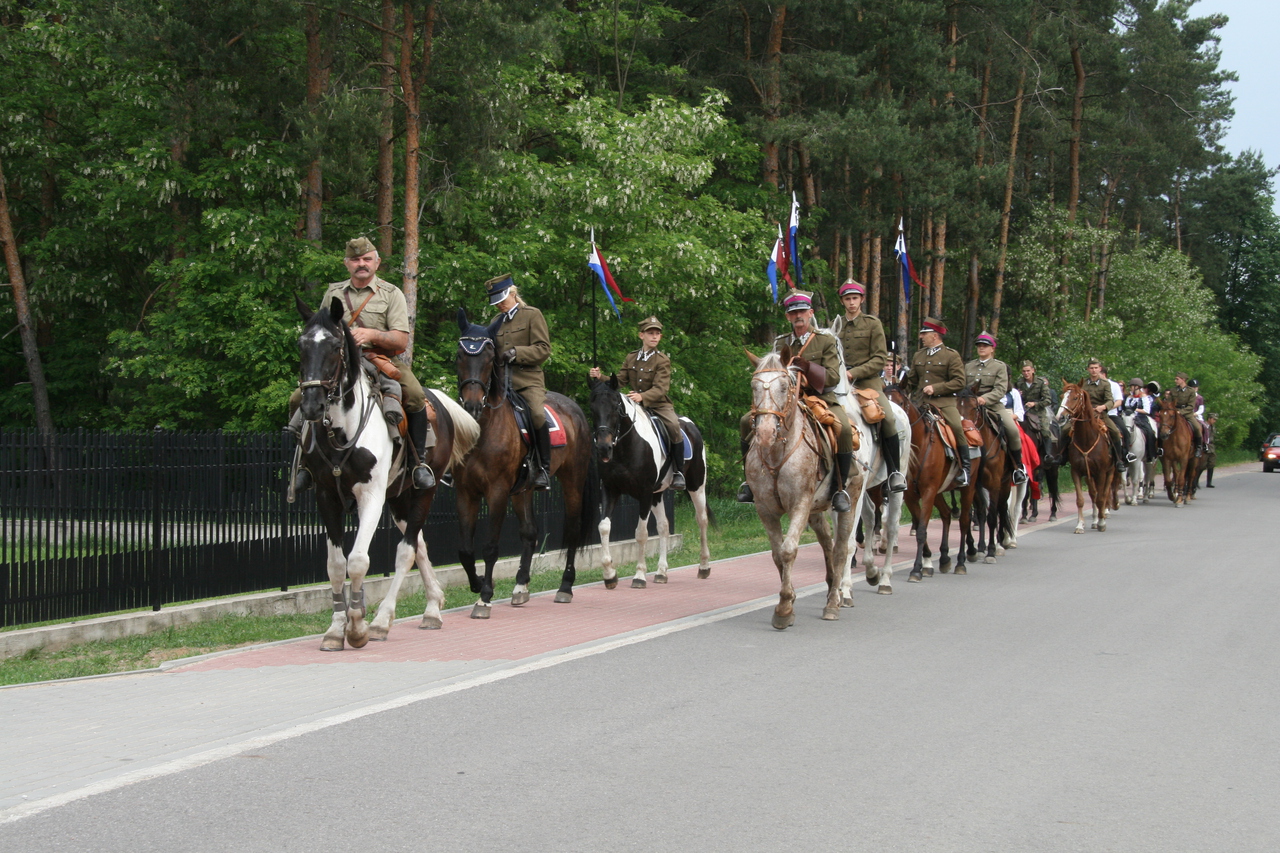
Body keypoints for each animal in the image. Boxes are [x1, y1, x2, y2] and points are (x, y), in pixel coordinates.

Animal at [294, 295, 483, 648]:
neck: (343, 429)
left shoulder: (371, 496)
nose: (312, 405)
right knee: (418, 544)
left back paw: (385, 619)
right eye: (301, 344)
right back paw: (433, 606)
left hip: (423, 491)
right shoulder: (327, 497)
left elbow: (358, 560)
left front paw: (357, 626)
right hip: (398, 498)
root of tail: (440, 402)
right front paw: (335, 629)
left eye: (335, 345)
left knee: (406, 551)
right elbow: (336, 565)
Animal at [453, 308, 596, 614]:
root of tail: (576, 409)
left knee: (573, 529)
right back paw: (521, 586)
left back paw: (565, 586)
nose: (472, 405)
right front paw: (478, 583)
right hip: (523, 490)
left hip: (572, 481)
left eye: (489, 356)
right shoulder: (466, 492)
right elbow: (465, 549)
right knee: (530, 533)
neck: (485, 426)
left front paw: (484, 597)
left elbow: (490, 548)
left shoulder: (496, 492)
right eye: (460, 354)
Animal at [586, 376, 716, 584]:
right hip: (657, 495)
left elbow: (641, 533)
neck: (627, 445)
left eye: (615, 407)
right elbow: (604, 527)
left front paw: (639, 575)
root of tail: (690, 424)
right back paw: (661, 572)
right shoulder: (610, 490)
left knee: (701, 519)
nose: (604, 448)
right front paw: (609, 574)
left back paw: (704, 566)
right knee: (663, 526)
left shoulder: (644, 493)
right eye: (592, 408)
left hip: (696, 486)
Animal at [747, 348, 855, 627]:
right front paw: (789, 599)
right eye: (753, 386)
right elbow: (777, 554)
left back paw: (833, 602)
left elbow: (788, 550)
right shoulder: (765, 509)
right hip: (816, 510)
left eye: (785, 386)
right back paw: (831, 584)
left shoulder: (800, 504)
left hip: (849, 502)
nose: (765, 433)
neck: (776, 452)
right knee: (826, 540)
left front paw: (785, 608)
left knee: (840, 549)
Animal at [1054, 379, 1116, 532]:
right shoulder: (1076, 471)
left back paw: (1101, 517)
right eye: (1062, 396)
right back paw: (1094, 520)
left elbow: (1101, 498)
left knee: (1104, 494)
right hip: (1089, 475)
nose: (1060, 417)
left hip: (1110, 472)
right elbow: (1080, 500)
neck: (1087, 440)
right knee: (1093, 495)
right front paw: (1080, 524)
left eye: (1075, 397)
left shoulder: (1101, 473)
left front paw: (1102, 523)